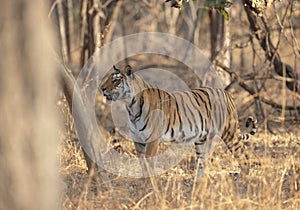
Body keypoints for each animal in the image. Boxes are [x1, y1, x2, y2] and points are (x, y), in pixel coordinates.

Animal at [99, 65, 258, 176]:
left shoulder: (152, 140)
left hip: (230, 133)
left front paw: (151, 188)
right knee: (204, 163)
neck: (131, 106)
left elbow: (149, 165)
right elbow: (143, 165)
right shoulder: (138, 141)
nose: (102, 88)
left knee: (243, 156)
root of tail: (226, 93)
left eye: (116, 80)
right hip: (202, 140)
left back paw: (245, 181)